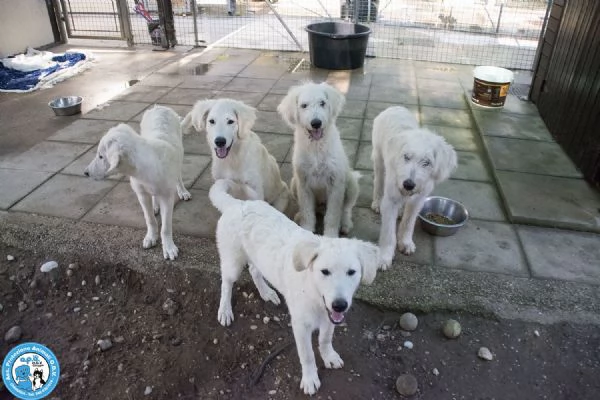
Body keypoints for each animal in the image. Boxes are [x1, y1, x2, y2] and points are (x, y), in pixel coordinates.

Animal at [84, 105, 190, 260]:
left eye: (101, 156)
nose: (85, 173)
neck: (143, 168)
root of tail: (159, 107)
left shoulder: (167, 197)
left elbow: (165, 227)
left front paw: (169, 247)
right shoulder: (141, 194)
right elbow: (149, 219)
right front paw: (151, 237)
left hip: (179, 155)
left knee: (179, 176)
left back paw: (182, 191)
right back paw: (155, 206)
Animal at [210, 179, 380, 396]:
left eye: (352, 272)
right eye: (325, 271)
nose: (340, 305)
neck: (315, 293)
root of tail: (237, 204)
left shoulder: (329, 318)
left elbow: (325, 339)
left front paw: (328, 356)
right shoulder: (300, 325)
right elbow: (307, 355)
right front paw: (310, 379)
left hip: (258, 258)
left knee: (255, 271)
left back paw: (267, 293)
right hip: (232, 263)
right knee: (226, 283)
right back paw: (225, 310)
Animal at [278, 82, 358, 238]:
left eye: (322, 103)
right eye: (304, 105)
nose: (316, 123)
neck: (316, 147)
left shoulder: (336, 185)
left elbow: (333, 215)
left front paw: (330, 236)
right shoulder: (303, 183)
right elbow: (307, 211)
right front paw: (306, 230)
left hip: (351, 184)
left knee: (346, 209)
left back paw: (345, 224)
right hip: (294, 183)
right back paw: (299, 216)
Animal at [370, 106, 454, 268]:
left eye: (426, 162)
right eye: (406, 157)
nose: (408, 184)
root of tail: (395, 107)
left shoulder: (418, 200)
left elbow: (409, 223)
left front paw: (405, 243)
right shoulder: (391, 199)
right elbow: (388, 231)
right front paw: (384, 256)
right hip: (378, 159)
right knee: (378, 181)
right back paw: (376, 202)